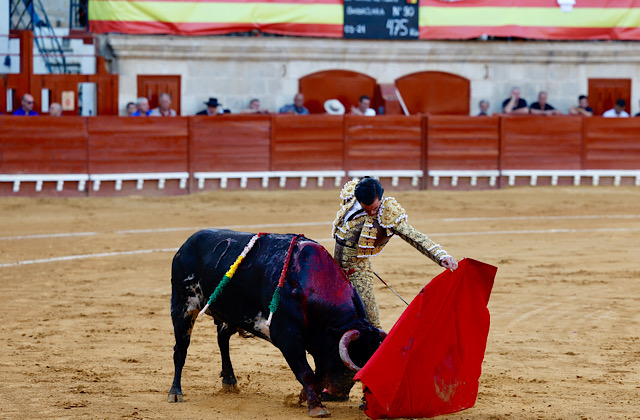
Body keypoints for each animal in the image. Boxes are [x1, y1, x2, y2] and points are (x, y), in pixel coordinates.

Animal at [168, 229, 385, 417]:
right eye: (352, 358)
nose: (338, 390)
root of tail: (185, 245)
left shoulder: (319, 346)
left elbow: (318, 373)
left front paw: (305, 397)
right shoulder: (288, 338)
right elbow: (306, 372)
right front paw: (316, 406)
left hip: (231, 313)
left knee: (222, 339)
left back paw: (229, 380)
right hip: (183, 306)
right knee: (181, 349)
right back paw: (175, 393)